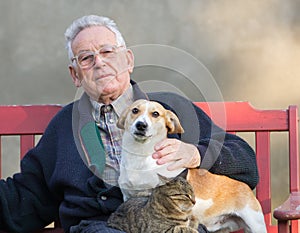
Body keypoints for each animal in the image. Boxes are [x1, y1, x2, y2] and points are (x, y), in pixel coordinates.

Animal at [117, 99, 268, 233]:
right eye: (135, 110)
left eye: (155, 114)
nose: (141, 125)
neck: (140, 158)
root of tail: (246, 187)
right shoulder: (128, 197)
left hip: (255, 224)